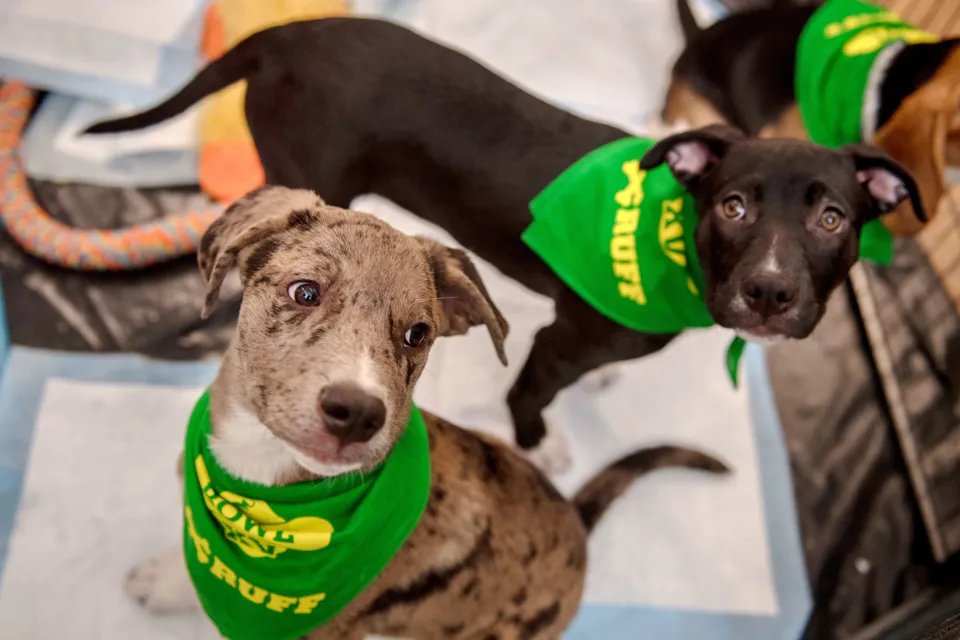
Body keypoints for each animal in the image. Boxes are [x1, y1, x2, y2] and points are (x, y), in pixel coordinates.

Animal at [86, 16, 928, 470]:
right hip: (315, 175)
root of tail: (284, 35)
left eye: (834, 220)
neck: (669, 244)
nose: (771, 291)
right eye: (734, 206)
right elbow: (529, 393)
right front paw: (541, 446)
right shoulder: (556, 341)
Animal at [125, 184, 728, 640]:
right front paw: (168, 579)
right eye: (304, 292)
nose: (357, 413)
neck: (263, 476)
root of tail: (575, 519)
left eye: (418, 334)